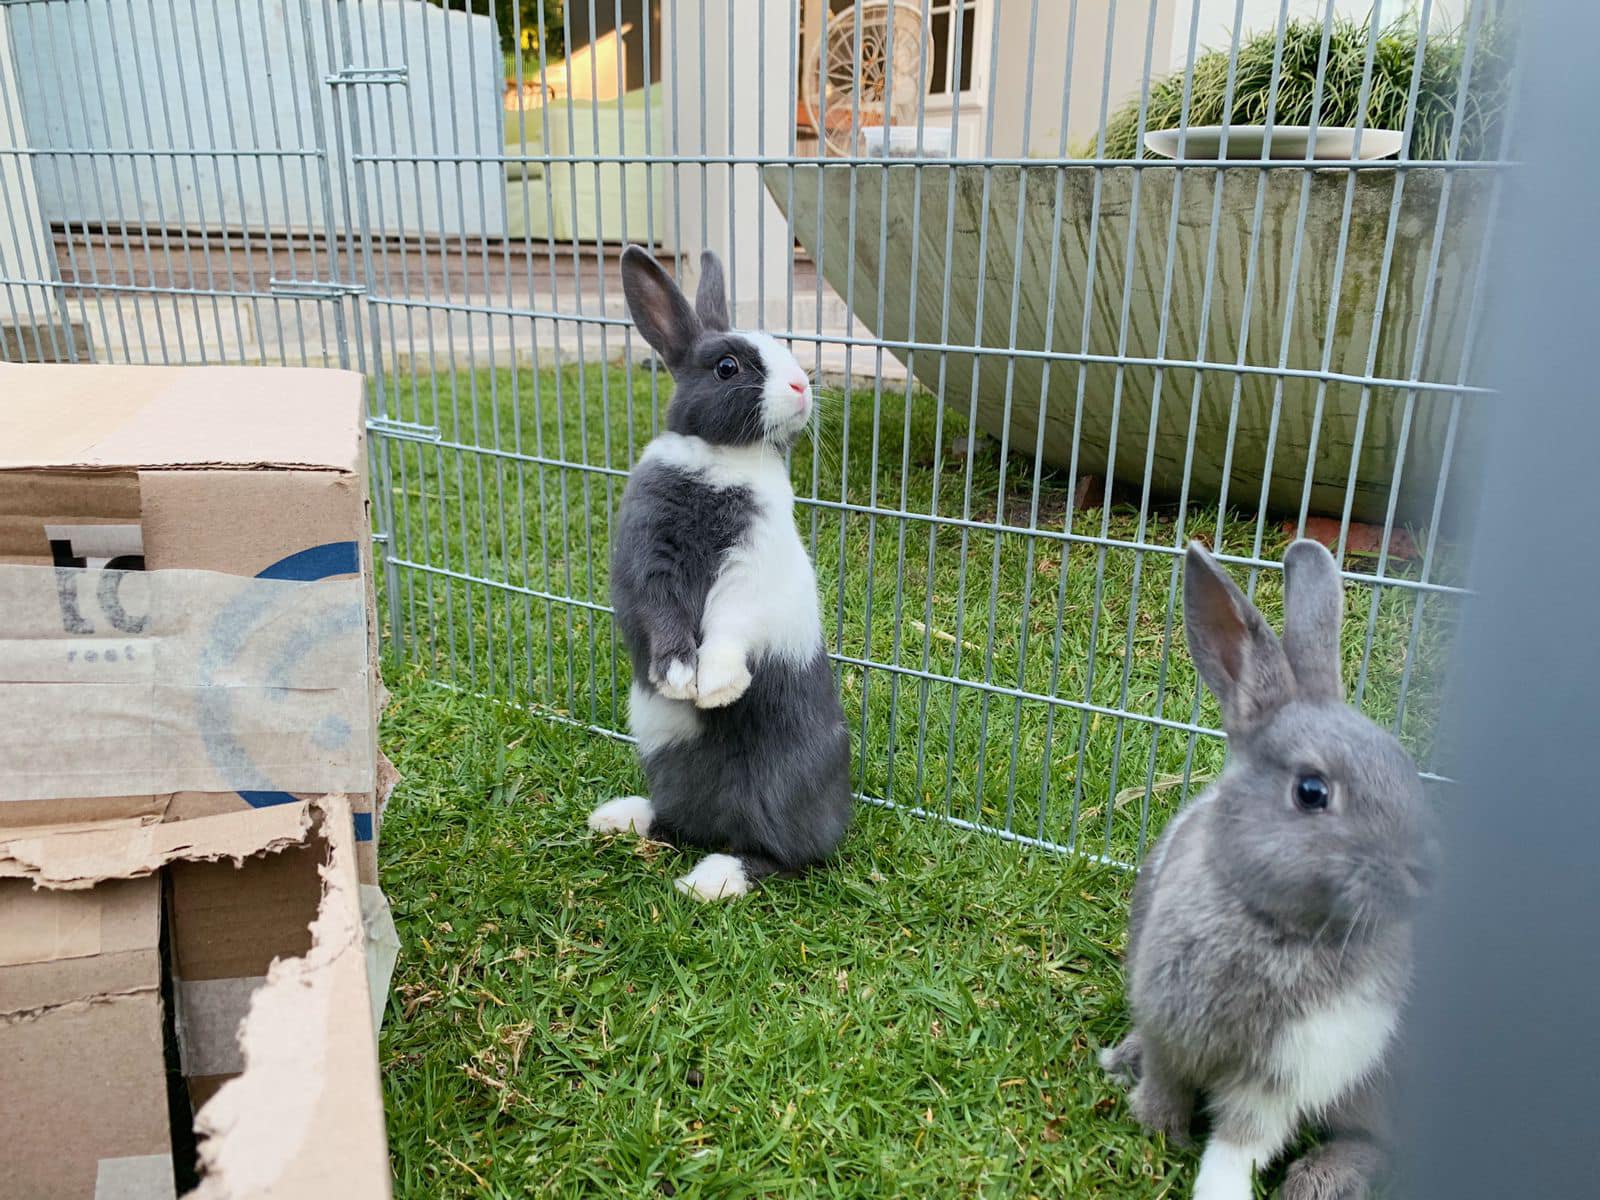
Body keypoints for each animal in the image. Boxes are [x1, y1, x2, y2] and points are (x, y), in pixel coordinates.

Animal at [586, 245, 852, 902]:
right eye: (728, 367)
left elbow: (730, 625)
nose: (802, 385)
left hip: (784, 786)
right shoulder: (648, 558)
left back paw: (711, 880)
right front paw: (680, 676)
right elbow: (662, 616)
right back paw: (617, 818)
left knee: (785, 856)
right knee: (678, 820)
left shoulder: (747, 568)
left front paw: (718, 687)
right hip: (667, 762)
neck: (720, 459)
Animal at [1100, 539, 1436, 1200]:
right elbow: (1165, 1087)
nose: (1427, 871)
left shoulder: (1286, 1073)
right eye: (1311, 791)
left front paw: (1216, 1187)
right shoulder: (1170, 1028)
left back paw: (1318, 1179)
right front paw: (1155, 1129)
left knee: (1378, 1143)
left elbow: (1242, 1141)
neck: (1271, 924)